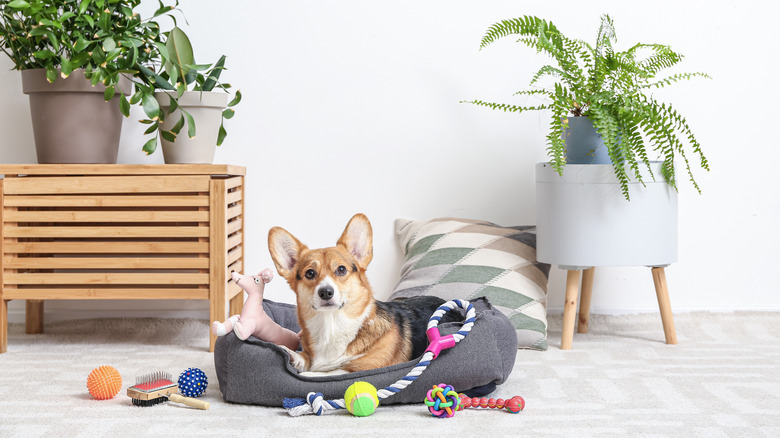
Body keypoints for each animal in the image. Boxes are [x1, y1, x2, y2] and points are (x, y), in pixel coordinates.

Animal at [268, 213, 454, 372]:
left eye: (341, 269)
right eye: (310, 273)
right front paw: (292, 355)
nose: (326, 292)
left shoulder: (365, 367)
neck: (331, 325)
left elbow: (329, 372)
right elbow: (305, 358)